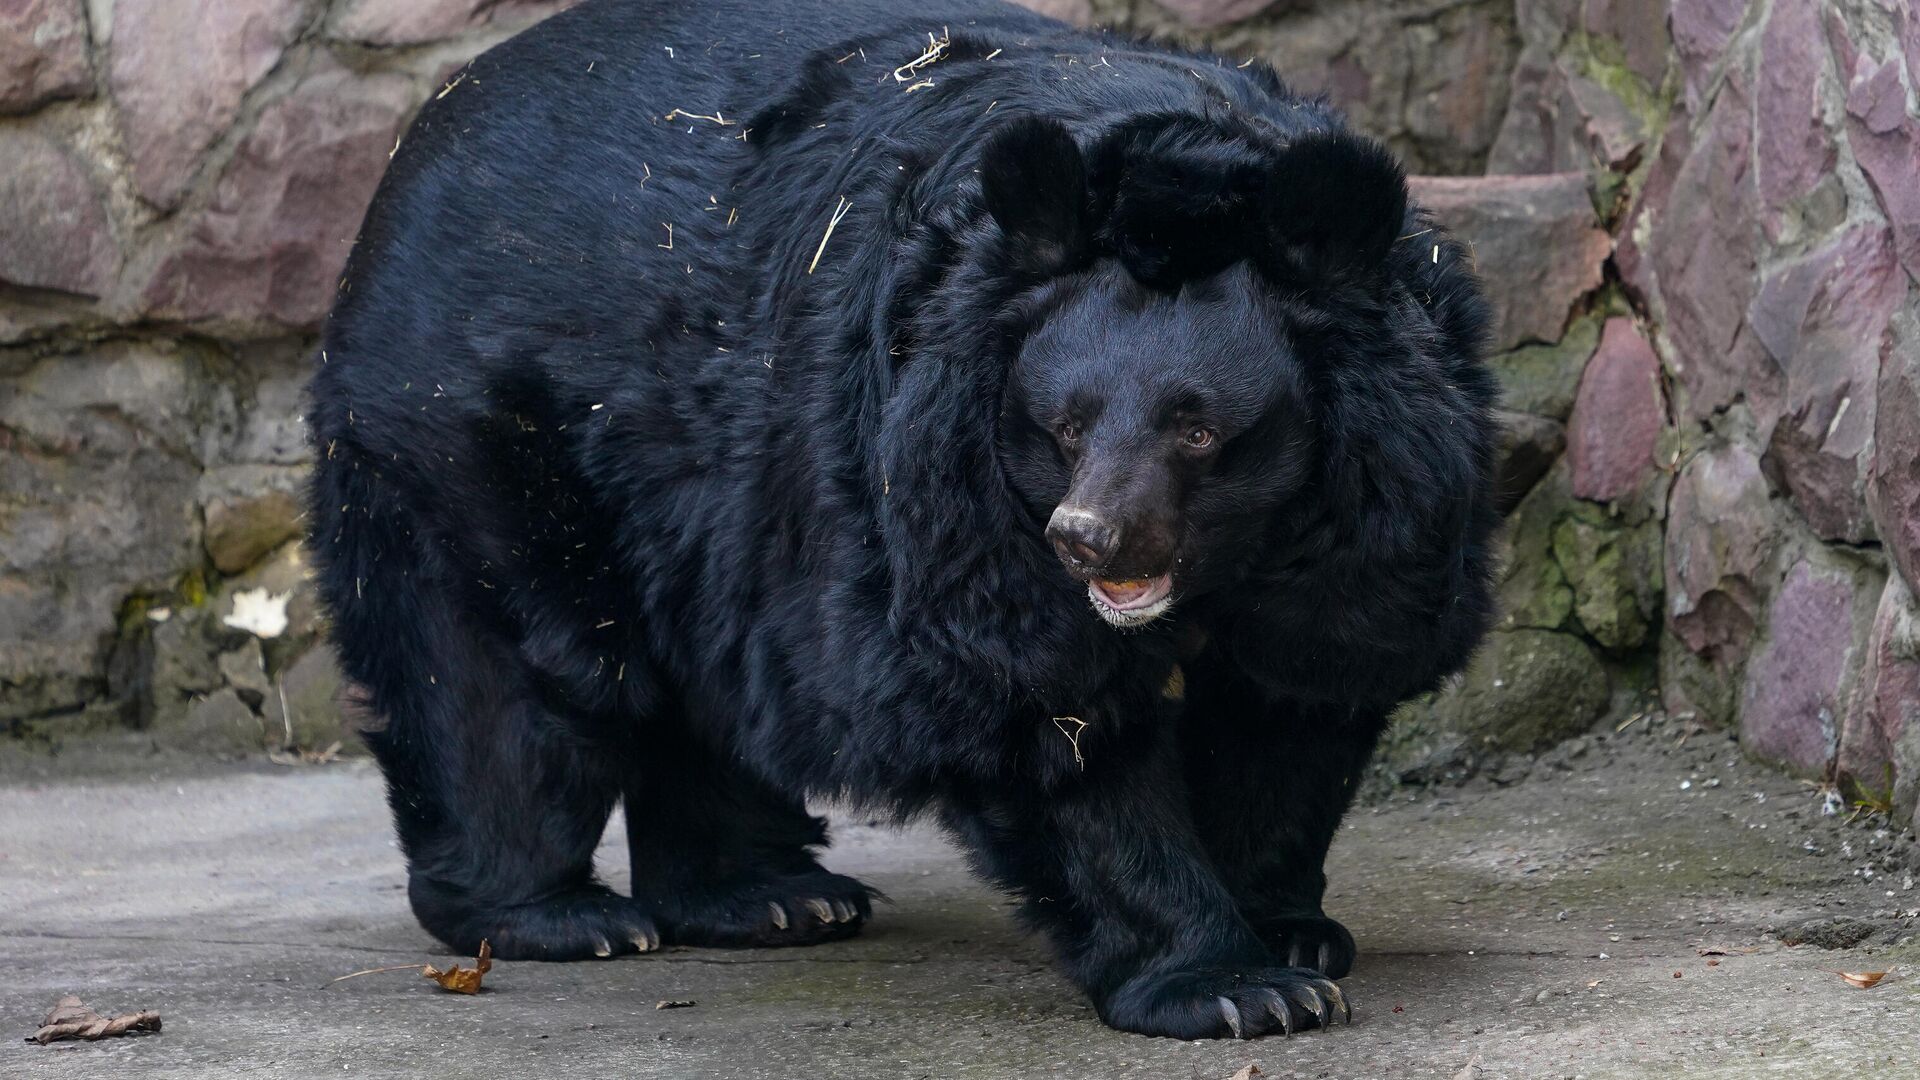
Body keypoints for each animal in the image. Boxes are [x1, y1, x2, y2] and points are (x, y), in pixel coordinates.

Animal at [307, 0, 1497, 1037]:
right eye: (1062, 424)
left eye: (1199, 431)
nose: (1088, 538)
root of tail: (431, 128)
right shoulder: (938, 468)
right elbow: (1041, 706)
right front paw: (1232, 987)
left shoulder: (1377, 510)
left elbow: (1298, 691)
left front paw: (1291, 933)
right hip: (475, 433)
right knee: (508, 676)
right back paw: (559, 914)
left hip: (706, 500)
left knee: (707, 674)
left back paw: (770, 897)